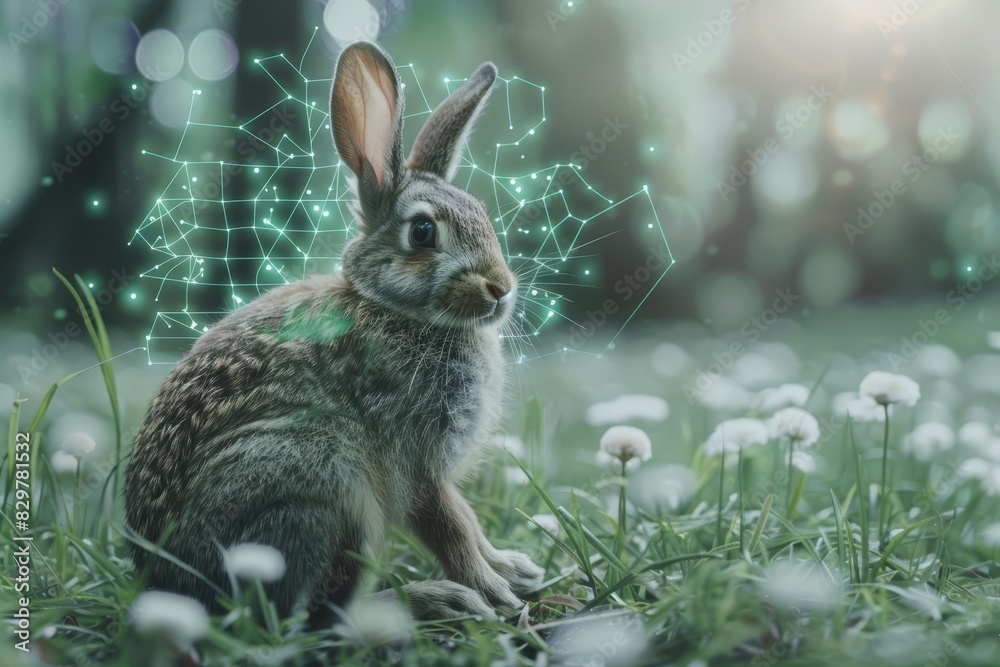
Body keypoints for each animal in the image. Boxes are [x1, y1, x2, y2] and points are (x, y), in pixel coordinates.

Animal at [124, 40, 544, 624]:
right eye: (422, 232)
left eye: (483, 214)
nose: (501, 289)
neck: (394, 309)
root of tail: (172, 585)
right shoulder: (416, 463)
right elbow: (452, 527)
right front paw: (494, 592)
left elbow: (469, 523)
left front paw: (514, 569)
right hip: (320, 484)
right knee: (311, 621)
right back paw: (435, 599)